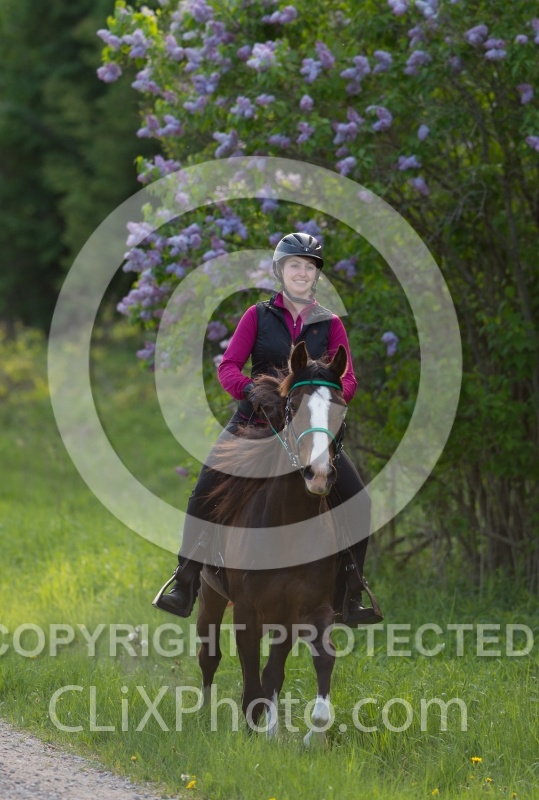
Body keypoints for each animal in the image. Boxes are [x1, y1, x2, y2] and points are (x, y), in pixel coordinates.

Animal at [194, 340, 349, 747]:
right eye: (293, 407)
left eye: (339, 408)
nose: (319, 474)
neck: (289, 527)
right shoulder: (247, 611)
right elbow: (251, 680)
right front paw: (251, 735)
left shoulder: (310, 609)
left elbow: (310, 663)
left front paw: (309, 737)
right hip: (210, 594)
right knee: (208, 655)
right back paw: (202, 716)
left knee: (272, 669)